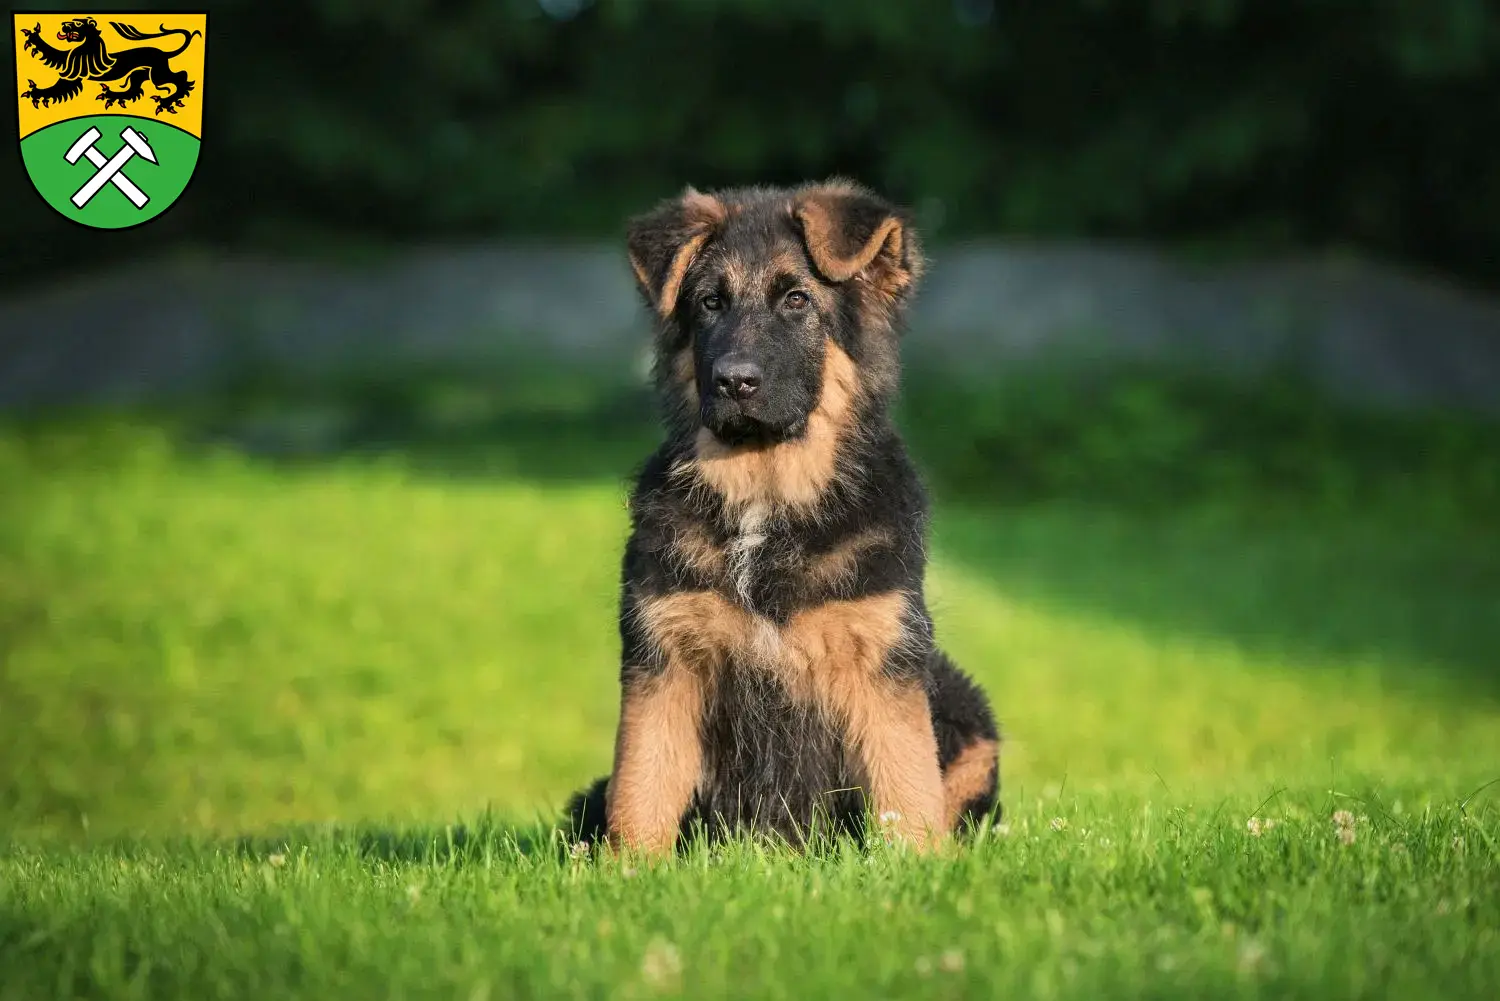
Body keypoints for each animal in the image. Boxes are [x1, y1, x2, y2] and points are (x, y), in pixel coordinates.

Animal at [567, 177, 1002, 852]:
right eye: (710, 303)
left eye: (797, 300)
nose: (733, 381)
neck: (766, 501)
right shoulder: (664, 659)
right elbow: (641, 791)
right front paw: (631, 869)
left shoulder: (882, 659)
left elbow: (907, 788)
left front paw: (918, 866)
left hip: (966, 713)